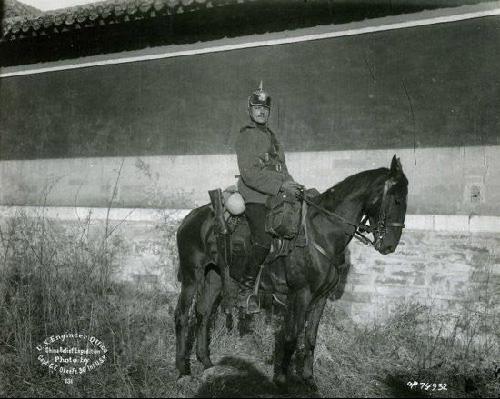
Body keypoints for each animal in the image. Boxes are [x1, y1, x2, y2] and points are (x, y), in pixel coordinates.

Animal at [174, 156, 408, 390]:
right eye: (396, 199)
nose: (390, 246)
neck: (321, 233)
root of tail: (190, 216)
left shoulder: (320, 298)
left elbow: (310, 337)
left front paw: (309, 380)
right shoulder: (300, 294)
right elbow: (291, 336)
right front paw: (282, 381)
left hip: (214, 276)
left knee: (203, 313)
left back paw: (206, 363)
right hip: (191, 274)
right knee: (182, 315)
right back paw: (182, 370)